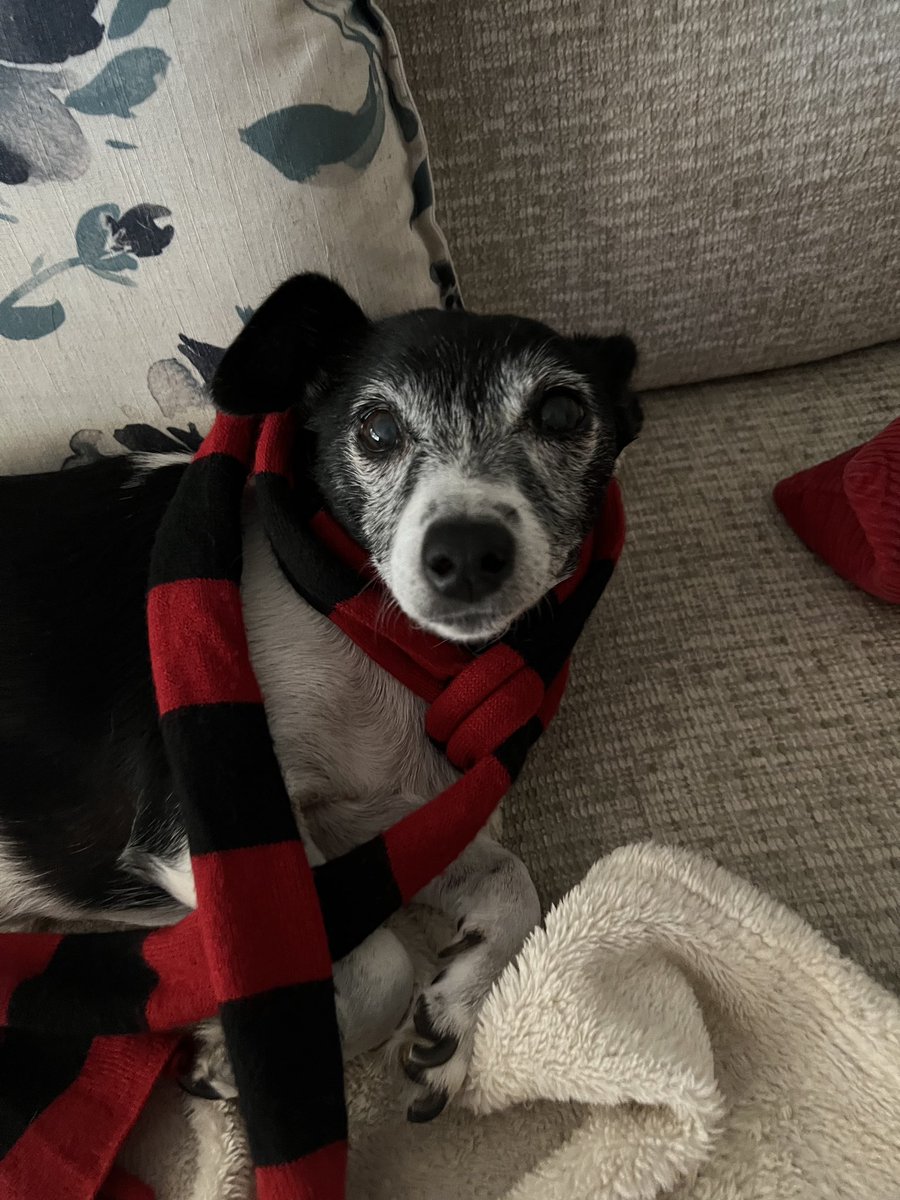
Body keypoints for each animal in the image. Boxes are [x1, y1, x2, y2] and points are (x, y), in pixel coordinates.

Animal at [0, 276, 643, 1118]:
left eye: (563, 414)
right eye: (376, 428)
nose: (467, 550)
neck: (370, 639)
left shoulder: (370, 819)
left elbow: (510, 883)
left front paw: (450, 1015)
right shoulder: (211, 826)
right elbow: (367, 964)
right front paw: (249, 1055)